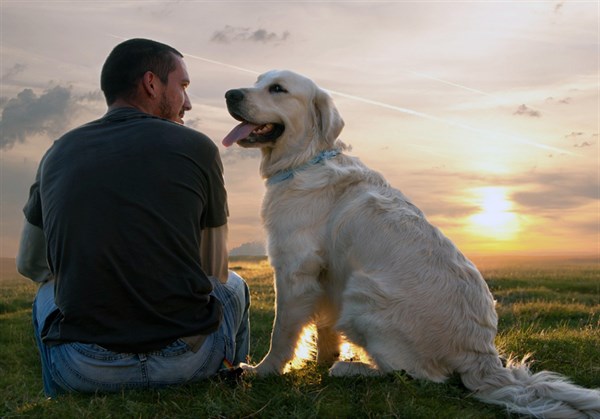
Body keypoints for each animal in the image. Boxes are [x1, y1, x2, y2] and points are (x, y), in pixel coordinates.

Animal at [221, 70, 600, 418]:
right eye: (258, 81)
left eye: (277, 89)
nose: (229, 94)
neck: (304, 161)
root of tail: (481, 356)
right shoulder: (326, 276)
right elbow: (325, 328)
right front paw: (322, 358)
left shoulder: (294, 269)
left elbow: (282, 332)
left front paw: (263, 371)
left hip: (363, 293)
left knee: (417, 375)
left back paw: (351, 369)